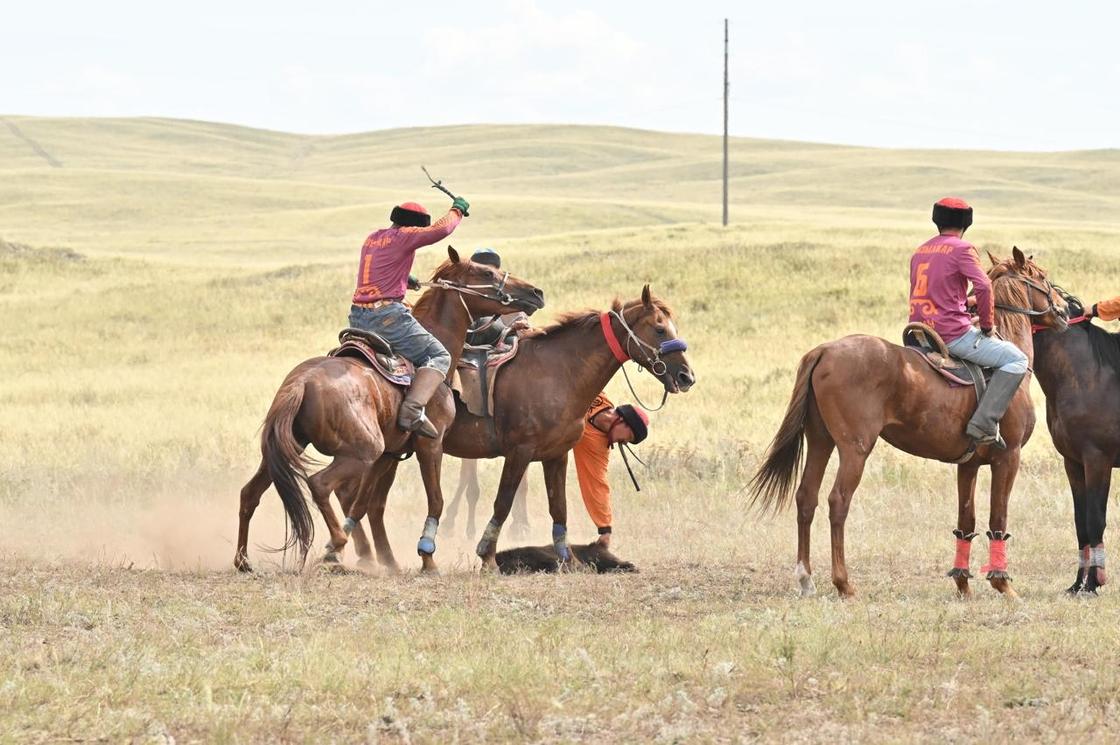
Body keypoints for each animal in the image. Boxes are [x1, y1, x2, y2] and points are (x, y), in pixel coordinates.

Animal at [235, 246, 546, 571]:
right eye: (486, 272)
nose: (535, 293)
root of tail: (302, 383)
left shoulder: (391, 454)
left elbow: (368, 504)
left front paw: (389, 560)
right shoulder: (430, 444)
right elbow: (434, 500)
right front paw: (427, 560)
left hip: (291, 449)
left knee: (250, 494)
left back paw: (244, 560)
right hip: (361, 451)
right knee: (320, 484)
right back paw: (338, 544)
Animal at [340, 284, 694, 569]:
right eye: (660, 329)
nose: (686, 376)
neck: (557, 372)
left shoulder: (557, 455)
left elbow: (558, 508)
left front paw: (568, 560)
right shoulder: (519, 452)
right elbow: (504, 501)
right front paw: (486, 555)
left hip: (394, 452)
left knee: (372, 504)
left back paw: (379, 558)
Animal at [752, 249, 1066, 600]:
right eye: (1042, 276)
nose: (1067, 308)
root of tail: (824, 351)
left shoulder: (969, 465)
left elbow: (966, 520)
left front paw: (962, 584)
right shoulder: (1008, 458)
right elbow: (998, 517)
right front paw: (1003, 584)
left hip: (821, 441)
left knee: (807, 497)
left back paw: (806, 578)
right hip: (855, 449)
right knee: (838, 502)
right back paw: (844, 583)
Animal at [1030, 300, 1120, 591]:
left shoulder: (1097, 460)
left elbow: (1095, 519)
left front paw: (1093, 583)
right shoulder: (1073, 462)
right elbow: (1081, 522)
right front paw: (1078, 583)